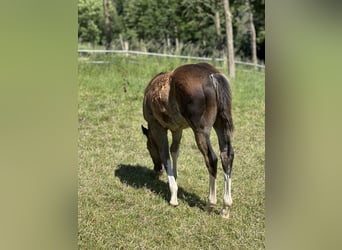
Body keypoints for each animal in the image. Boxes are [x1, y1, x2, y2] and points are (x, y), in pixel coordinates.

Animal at [140, 63, 234, 219]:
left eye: (148, 147)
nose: (157, 169)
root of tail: (212, 75)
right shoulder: (177, 129)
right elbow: (174, 151)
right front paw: (174, 176)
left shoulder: (157, 126)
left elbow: (165, 154)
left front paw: (173, 197)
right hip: (220, 124)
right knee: (227, 155)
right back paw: (225, 207)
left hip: (200, 130)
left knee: (211, 159)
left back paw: (211, 203)